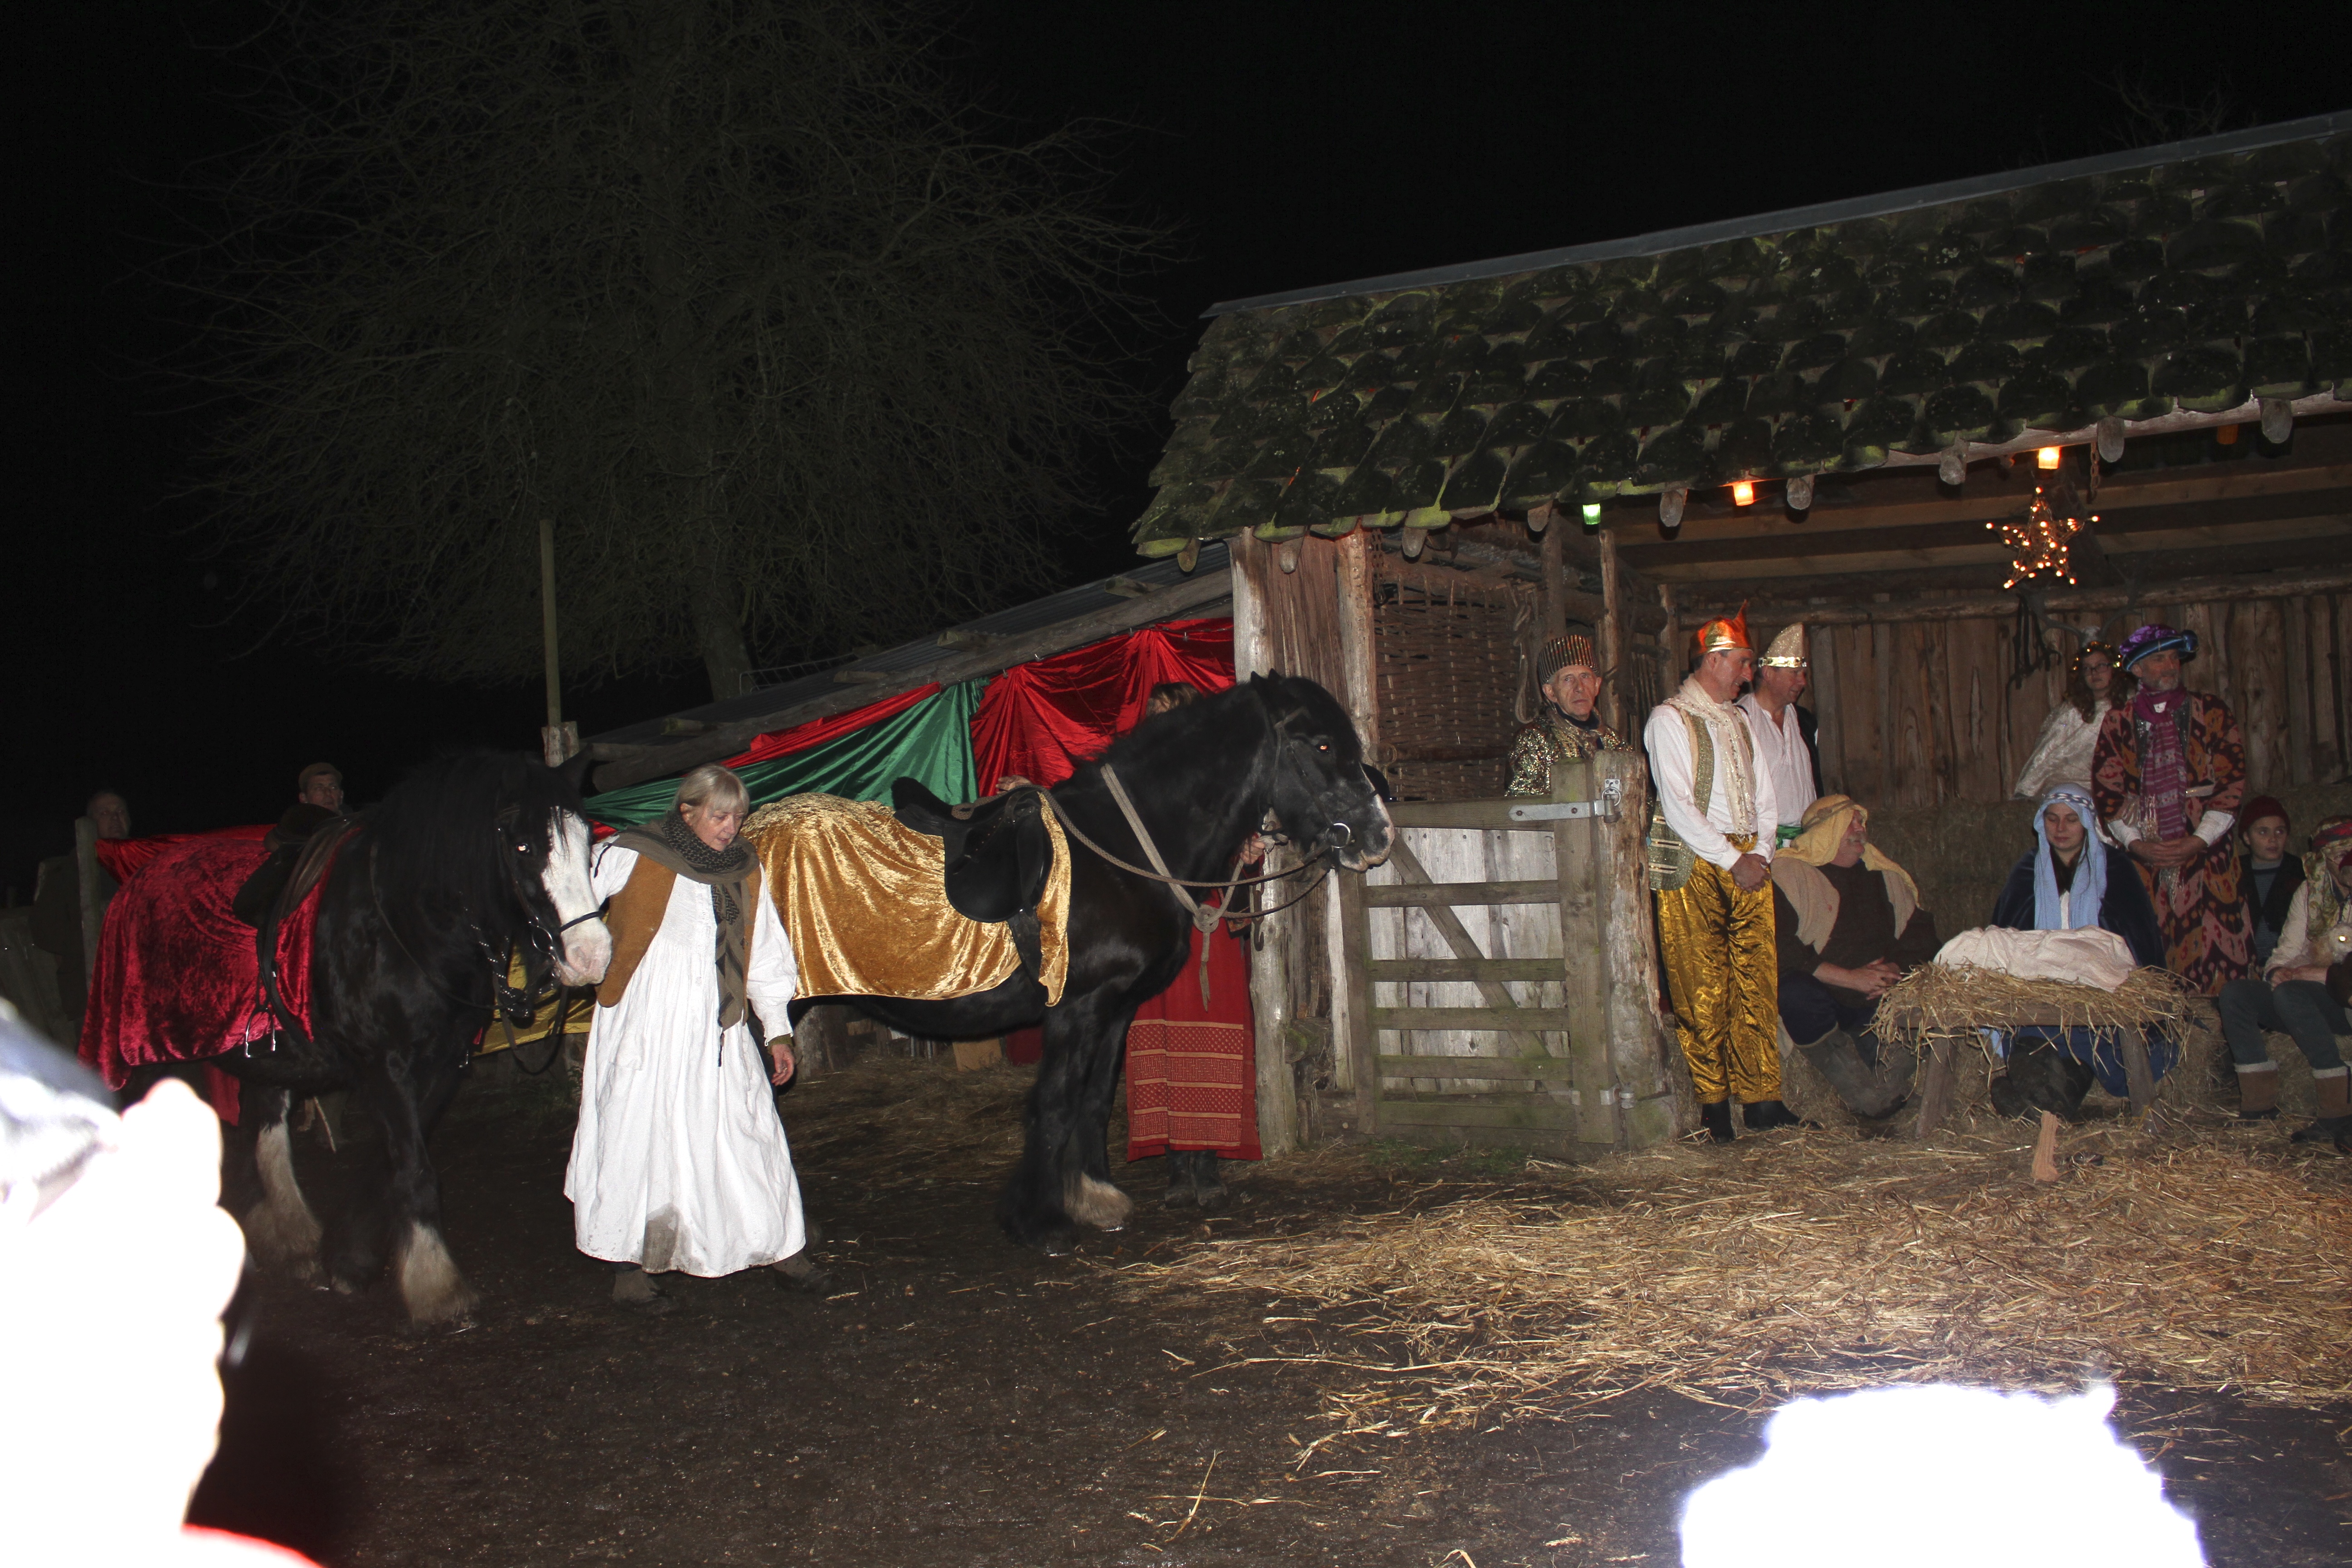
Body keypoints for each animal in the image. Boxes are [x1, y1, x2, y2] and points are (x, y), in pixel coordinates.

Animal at [119, 752, 612, 1326]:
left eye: (587, 841)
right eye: (523, 847)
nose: (592, 955)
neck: (405, 922)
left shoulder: (441, 1063)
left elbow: (393, 1161)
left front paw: (350, 1259)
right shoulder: (382, 1064)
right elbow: (414, 1167)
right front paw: (437, 1287)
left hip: (262, 1053)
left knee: (265, 1127)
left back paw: (290, 1239)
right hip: (144, 1052)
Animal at [788, 672, 1392, 1252]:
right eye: (1322, 744)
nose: (1379, 836)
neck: (1121, 851)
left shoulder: (1117, 1008)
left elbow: (1096, 1101)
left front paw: (1094, 1196)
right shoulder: (1075, 1007)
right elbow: (1055, 1103)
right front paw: (1039, 1222)